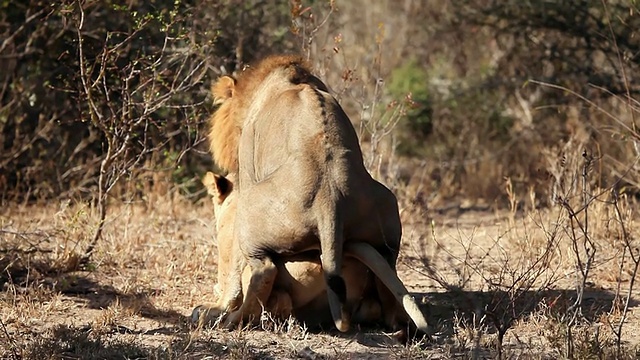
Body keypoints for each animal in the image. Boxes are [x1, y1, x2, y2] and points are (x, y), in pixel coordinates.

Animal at [198, 54, 432, 336]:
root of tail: (329, 201)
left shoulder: (244, 176)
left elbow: (230, 266)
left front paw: (218, 307)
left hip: (250, 210)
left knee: (264, 271)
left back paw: (230, 319)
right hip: (387, 212)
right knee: (387, 280)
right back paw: (396, 322)